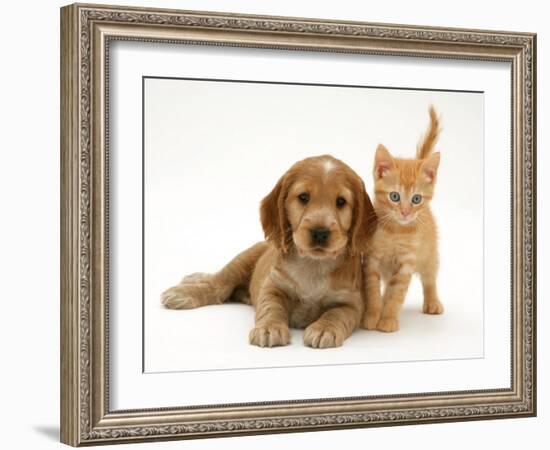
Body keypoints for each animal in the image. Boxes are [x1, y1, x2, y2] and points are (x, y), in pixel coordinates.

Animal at [162, 156, 378, 350]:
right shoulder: (273, 285)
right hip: (243, 259)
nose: (320, 232)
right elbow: (271, 307)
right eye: (303, 197)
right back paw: (184, 291)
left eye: (341, 201)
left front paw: (324, 329)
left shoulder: (351, 303)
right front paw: (269, 328)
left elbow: (336, 314)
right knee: (218, 285)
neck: (314, 263)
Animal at [364, 105, 446, 330]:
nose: (406, 212)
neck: (395, 230)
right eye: (394, 196)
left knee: (430, 277)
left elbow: (396, 293)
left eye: (416, 199)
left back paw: (433, 301)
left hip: (429, 254)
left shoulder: (406, 263)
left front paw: (388, 319)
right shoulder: (371, 259)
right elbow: (373, 290)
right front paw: (372, 315)